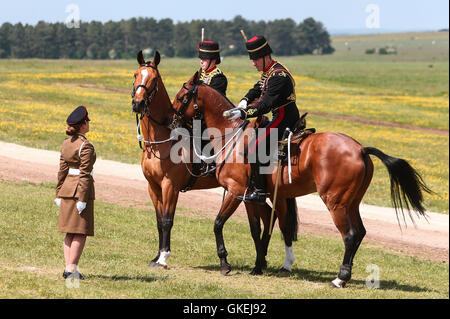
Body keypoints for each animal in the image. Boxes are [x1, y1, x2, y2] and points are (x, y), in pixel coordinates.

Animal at [131, 51, 278, 276]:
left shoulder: (170, 186)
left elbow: (167, 221)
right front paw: (156, 256)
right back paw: (261, 262)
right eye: (136, 75)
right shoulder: (153, 187)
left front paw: (163, 258)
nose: (138, 104)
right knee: (267, 218)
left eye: (154, 79)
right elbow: (158, 221)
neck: (162, 140)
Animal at [172, 71, 432, 288]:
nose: (172, 123)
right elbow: (262, 229)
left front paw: (226, 264)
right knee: (359, 232)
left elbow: (221, 224)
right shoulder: (254, 197)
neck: (231, 135)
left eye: (181, 97)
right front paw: (259, 265)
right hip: (352, 202)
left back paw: (340, 278)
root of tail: (360, 149)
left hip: (335, 202)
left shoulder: (237, 192)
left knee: (349, 235)